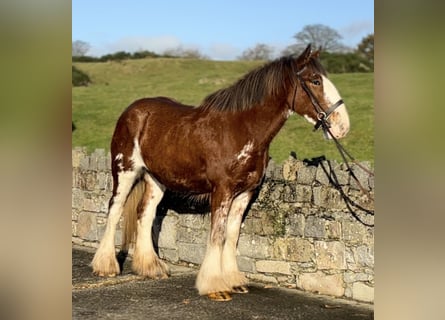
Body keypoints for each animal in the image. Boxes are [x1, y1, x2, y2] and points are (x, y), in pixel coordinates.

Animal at [89, 43, 346, 302]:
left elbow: (231, 235)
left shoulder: (245, 193)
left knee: (145, 212)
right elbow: (217, 234)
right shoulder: (222, 191)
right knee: (115, 209)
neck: (240, 129)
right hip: (125, 171)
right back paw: (106, 266)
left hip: (155, 179)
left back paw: (151, 268)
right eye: (315, 81)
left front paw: (234, 280)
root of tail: (132, 111)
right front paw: (215, 286)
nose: (342, 126)